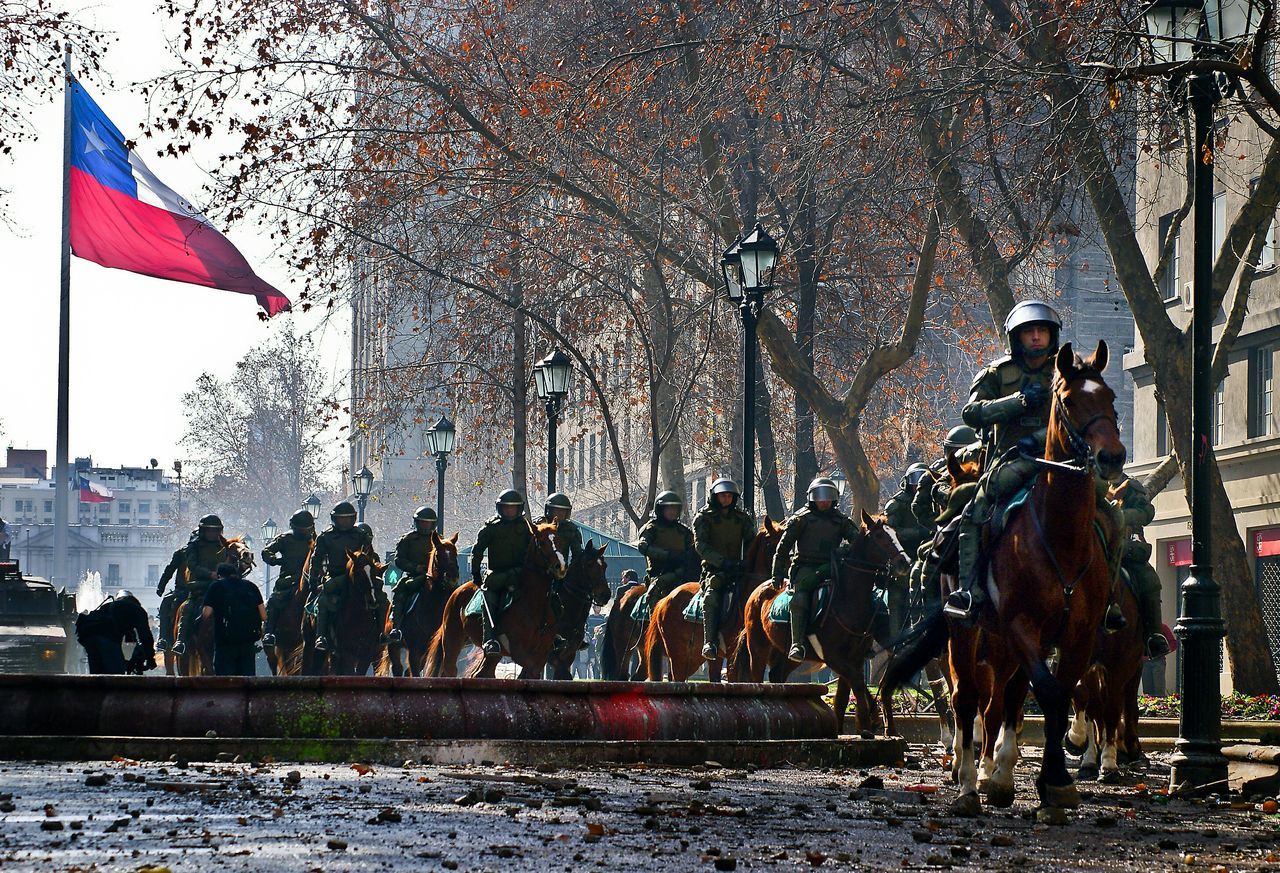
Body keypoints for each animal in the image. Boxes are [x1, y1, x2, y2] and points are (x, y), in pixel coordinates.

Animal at [376, 529, 463, 670]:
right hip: (394, 646)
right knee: (398, 668)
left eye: (455, 553)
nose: (452, 577)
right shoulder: (415, 650)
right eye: (438, 555)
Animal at [424, 519, 565, 675]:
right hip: (452, 640)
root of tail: (457, 591)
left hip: (493, 654)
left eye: (559, 540)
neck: (533, 604)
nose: (560, 566)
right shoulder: (519, 651)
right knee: (450, 668)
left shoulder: (542, 653)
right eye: (542, 542)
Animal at [742, 509, 911, 732]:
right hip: (758, 646)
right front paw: (867, 724)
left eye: (895, 534)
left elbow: (844, 695)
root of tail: (758, 590)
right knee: (757, 678)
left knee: (778, 675)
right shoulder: (834, 657)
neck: (846, 599)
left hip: (786, 655)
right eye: (879, 536)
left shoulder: (854, 658)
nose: (904, 562)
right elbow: (857, 683)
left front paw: (847, 728)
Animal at [880, 340, 1121, 814]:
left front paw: (1049, 778)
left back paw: (997, 775)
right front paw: (1052, 778)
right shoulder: (1022, 626)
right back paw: (968, 784)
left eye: (1111, 399)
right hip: (965, 632)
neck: (1060, 538)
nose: (1112, 457)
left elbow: (1054, 694)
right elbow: (1046, 693)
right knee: (966, 698)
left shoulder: (1077, 635)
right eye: (1069, 401)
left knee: (1001, 700)